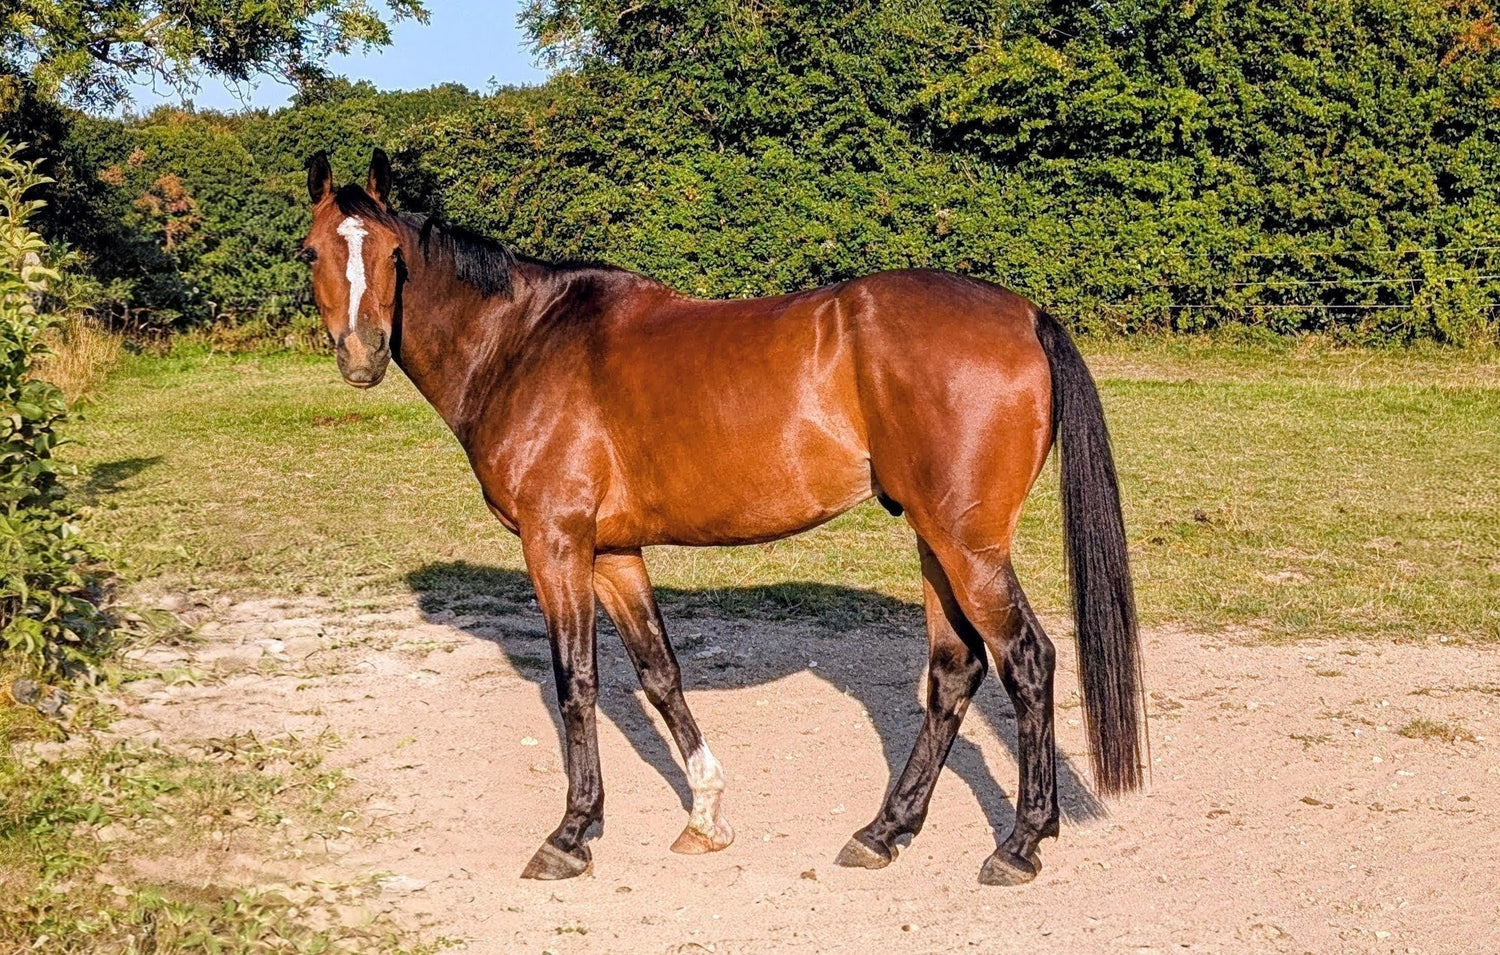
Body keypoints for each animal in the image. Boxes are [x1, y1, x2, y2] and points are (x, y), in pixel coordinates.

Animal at [298, 148, 1145, 886]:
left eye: (394, 255)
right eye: (312, 253)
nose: (363, 353)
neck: (524, 342)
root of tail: (1025, 315)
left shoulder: (556, 543)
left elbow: (577, 682)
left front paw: (570, 834)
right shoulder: (613, 554)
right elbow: (659, 673)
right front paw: (705, 814)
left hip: (969, 548)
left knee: (1027, 661)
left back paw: (1021, 842)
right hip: (936, 540)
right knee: (954, 671)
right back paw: (884, 830)